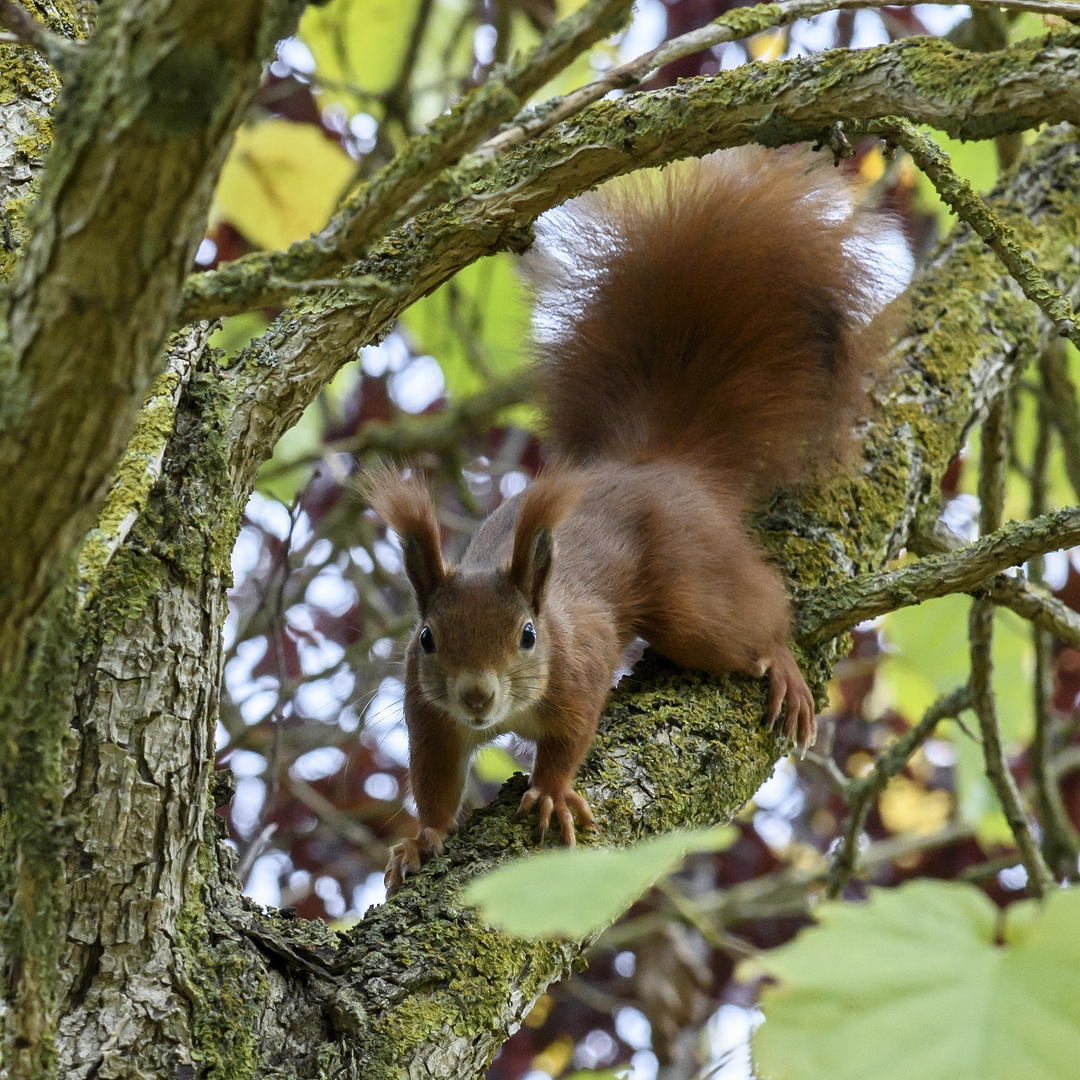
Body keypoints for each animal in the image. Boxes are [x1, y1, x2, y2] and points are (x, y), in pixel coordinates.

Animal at [371, 145, 894, 885]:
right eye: (426, 638)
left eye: (528, 635)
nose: (476, 697)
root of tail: (661, 464)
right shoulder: (428, 713)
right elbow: (435, 783)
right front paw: (422, 838)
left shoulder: (581, 666)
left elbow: (571, 738)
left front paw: (552, 792)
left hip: (690, 598)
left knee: (751, 613)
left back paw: (781, 664)